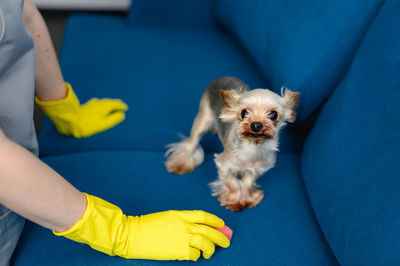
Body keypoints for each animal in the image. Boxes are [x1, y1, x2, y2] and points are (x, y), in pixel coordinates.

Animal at [164, 77, 298, 212]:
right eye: (244, 113)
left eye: (273, 114)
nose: (256, 125)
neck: (252, 147)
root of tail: (221, 77)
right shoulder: (223, 164)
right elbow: (232, 183)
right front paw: (234, 201)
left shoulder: (259, 168)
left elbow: (247, 182)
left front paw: (247, 199)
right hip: (202, 119)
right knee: (191, 143)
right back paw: (179, 165)